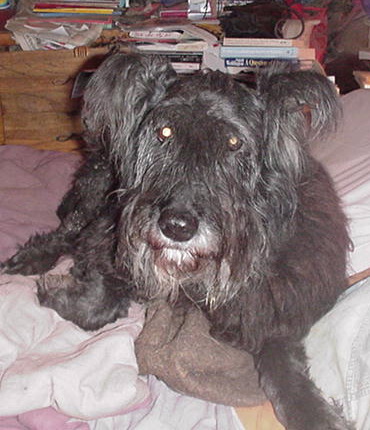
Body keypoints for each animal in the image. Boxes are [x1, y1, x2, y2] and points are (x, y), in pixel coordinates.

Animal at [0, 54, 352, 430]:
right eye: (164, 132)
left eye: (234, 143)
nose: (177, 227)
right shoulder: (111, 237)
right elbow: (100, 303)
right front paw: (56, 291)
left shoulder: (274, 308)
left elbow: (283, 367)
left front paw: (316, 414)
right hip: (98, 188)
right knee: (67, 229)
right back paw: (28, 260)